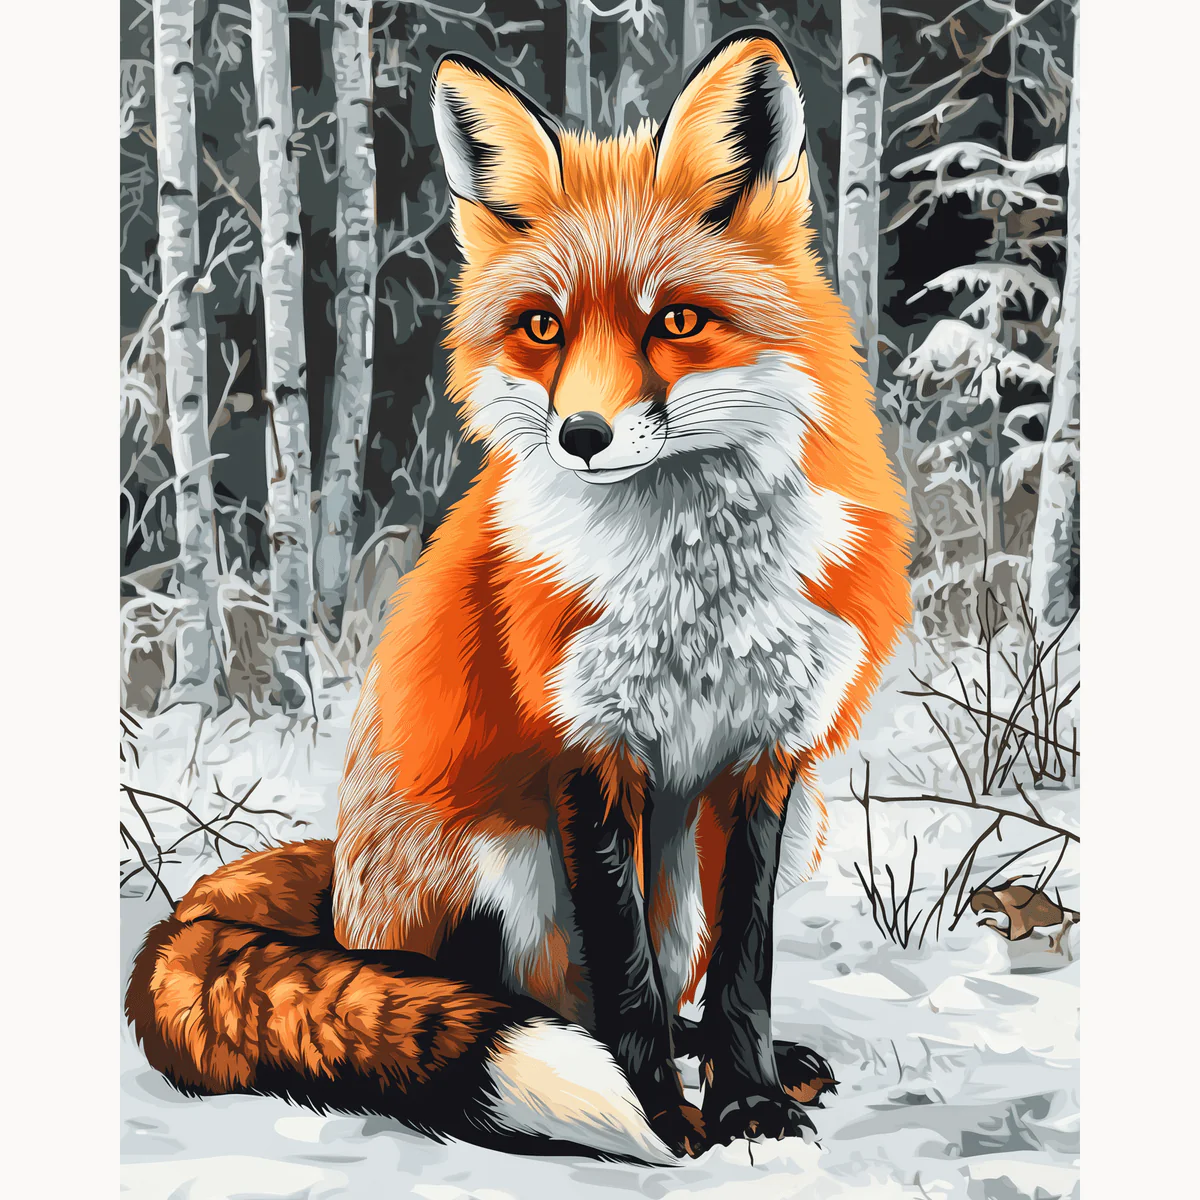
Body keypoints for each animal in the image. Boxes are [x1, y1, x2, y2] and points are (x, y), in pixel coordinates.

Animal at [126, 30, 910, 1165]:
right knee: (519, 998)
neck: (692, 589)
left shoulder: (768, 758)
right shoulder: (585, 749)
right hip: (499, 863)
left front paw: (748, 1100)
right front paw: (662, 1116)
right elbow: (621, 980)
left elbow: (745, 968)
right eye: (543, 327)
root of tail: (337, 892)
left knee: (666, 976)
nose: (582, 435)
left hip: (709, 852)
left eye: (677, 321)